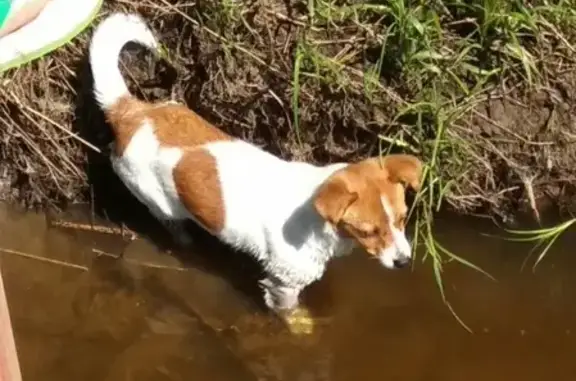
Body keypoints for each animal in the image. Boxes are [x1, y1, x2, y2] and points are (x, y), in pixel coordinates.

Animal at [90, 11, 424, 332]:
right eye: (368, 232)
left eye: (401, 219)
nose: (404, 262)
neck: (319, 223)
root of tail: (131, 113)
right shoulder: (283, 284)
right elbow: (294, 316)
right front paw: (304, 330)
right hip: (158, 201)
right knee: (173, 225)